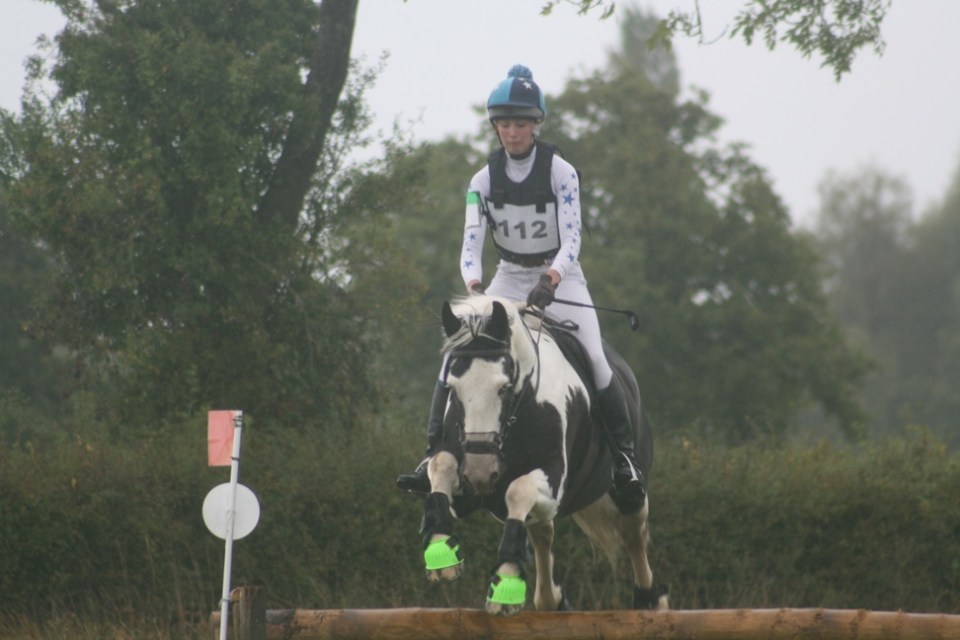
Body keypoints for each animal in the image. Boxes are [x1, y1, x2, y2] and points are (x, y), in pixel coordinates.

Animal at [417, 294, 668, 615]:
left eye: (504, 387)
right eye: (451, 388)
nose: (480, 472)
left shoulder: (552, 475)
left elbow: (518, 491)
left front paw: (505, 583)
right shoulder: (465, 469)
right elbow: (441, 466)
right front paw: (441, 554)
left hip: (630, 490)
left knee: (633, 531)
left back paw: (650, 600)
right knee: (542, 532)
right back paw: (551, 600)